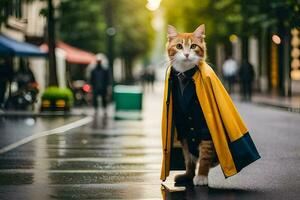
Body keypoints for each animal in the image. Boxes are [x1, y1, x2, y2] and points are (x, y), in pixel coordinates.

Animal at [166, 24, 218, 186]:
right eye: (179, 46)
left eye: (193, 46)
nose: (187, 54)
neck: (184, 77)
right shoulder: (182, 128)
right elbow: (188, 157)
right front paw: (188, 175)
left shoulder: (205, 126)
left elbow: (205, 154)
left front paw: (201, 176)